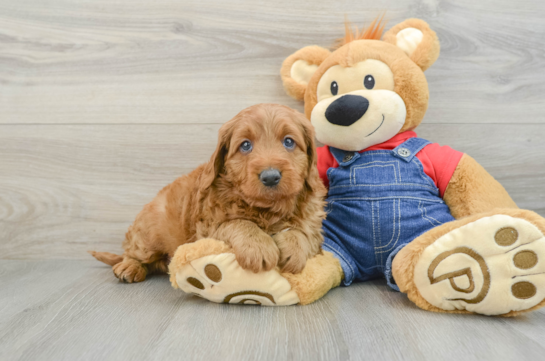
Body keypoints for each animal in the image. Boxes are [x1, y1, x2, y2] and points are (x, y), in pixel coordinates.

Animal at [91, 103, 326, 282]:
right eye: (245, 145)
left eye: (289, 141)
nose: (270, 176)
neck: (267, 209)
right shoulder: (208, 228)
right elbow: (237, 223)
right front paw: (257, 246)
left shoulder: (314, 225)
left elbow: (303, 232)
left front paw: (294, 248)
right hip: (149, 235)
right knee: (133, 253)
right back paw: (129, 267)